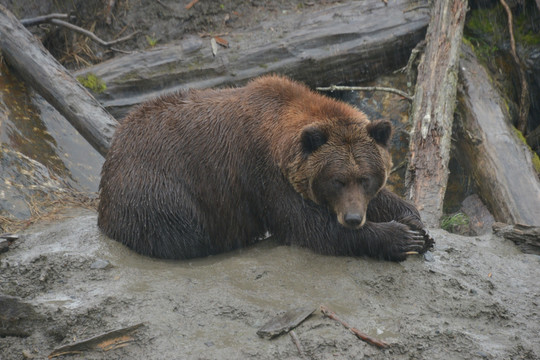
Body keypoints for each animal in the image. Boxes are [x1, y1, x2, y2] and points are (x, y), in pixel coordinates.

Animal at [99, 76, 432, 262]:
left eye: (365, 178)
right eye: (336, 180)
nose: (352, 218)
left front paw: (416, 224)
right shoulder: (263, 174)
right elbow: (309, 227)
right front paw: (399, 237)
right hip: (156, 187)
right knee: (182, 232)